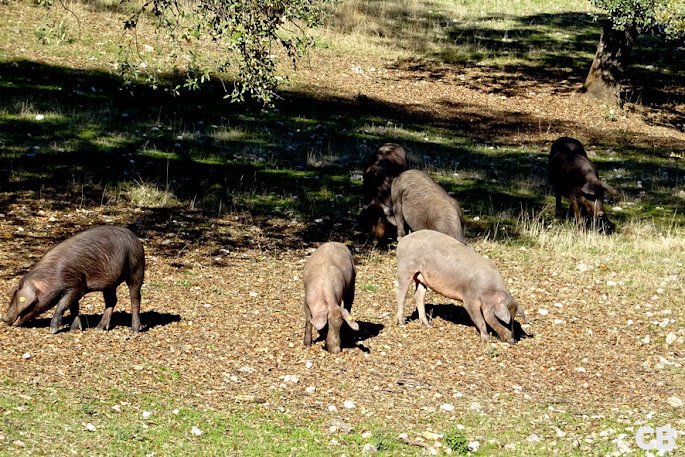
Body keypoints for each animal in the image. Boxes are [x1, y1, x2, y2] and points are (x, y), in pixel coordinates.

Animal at [392, 232, 532, 342]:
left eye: (513, 320)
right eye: (503, 321)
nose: (513, 341)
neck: (489, 291)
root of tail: (403, 239)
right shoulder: (469, 300)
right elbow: (481, 320)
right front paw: (486, 340)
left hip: (421, 278)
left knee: (418, 296)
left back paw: (427, 324)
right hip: (405, 268)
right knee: (401, 294)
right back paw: (401, 322)